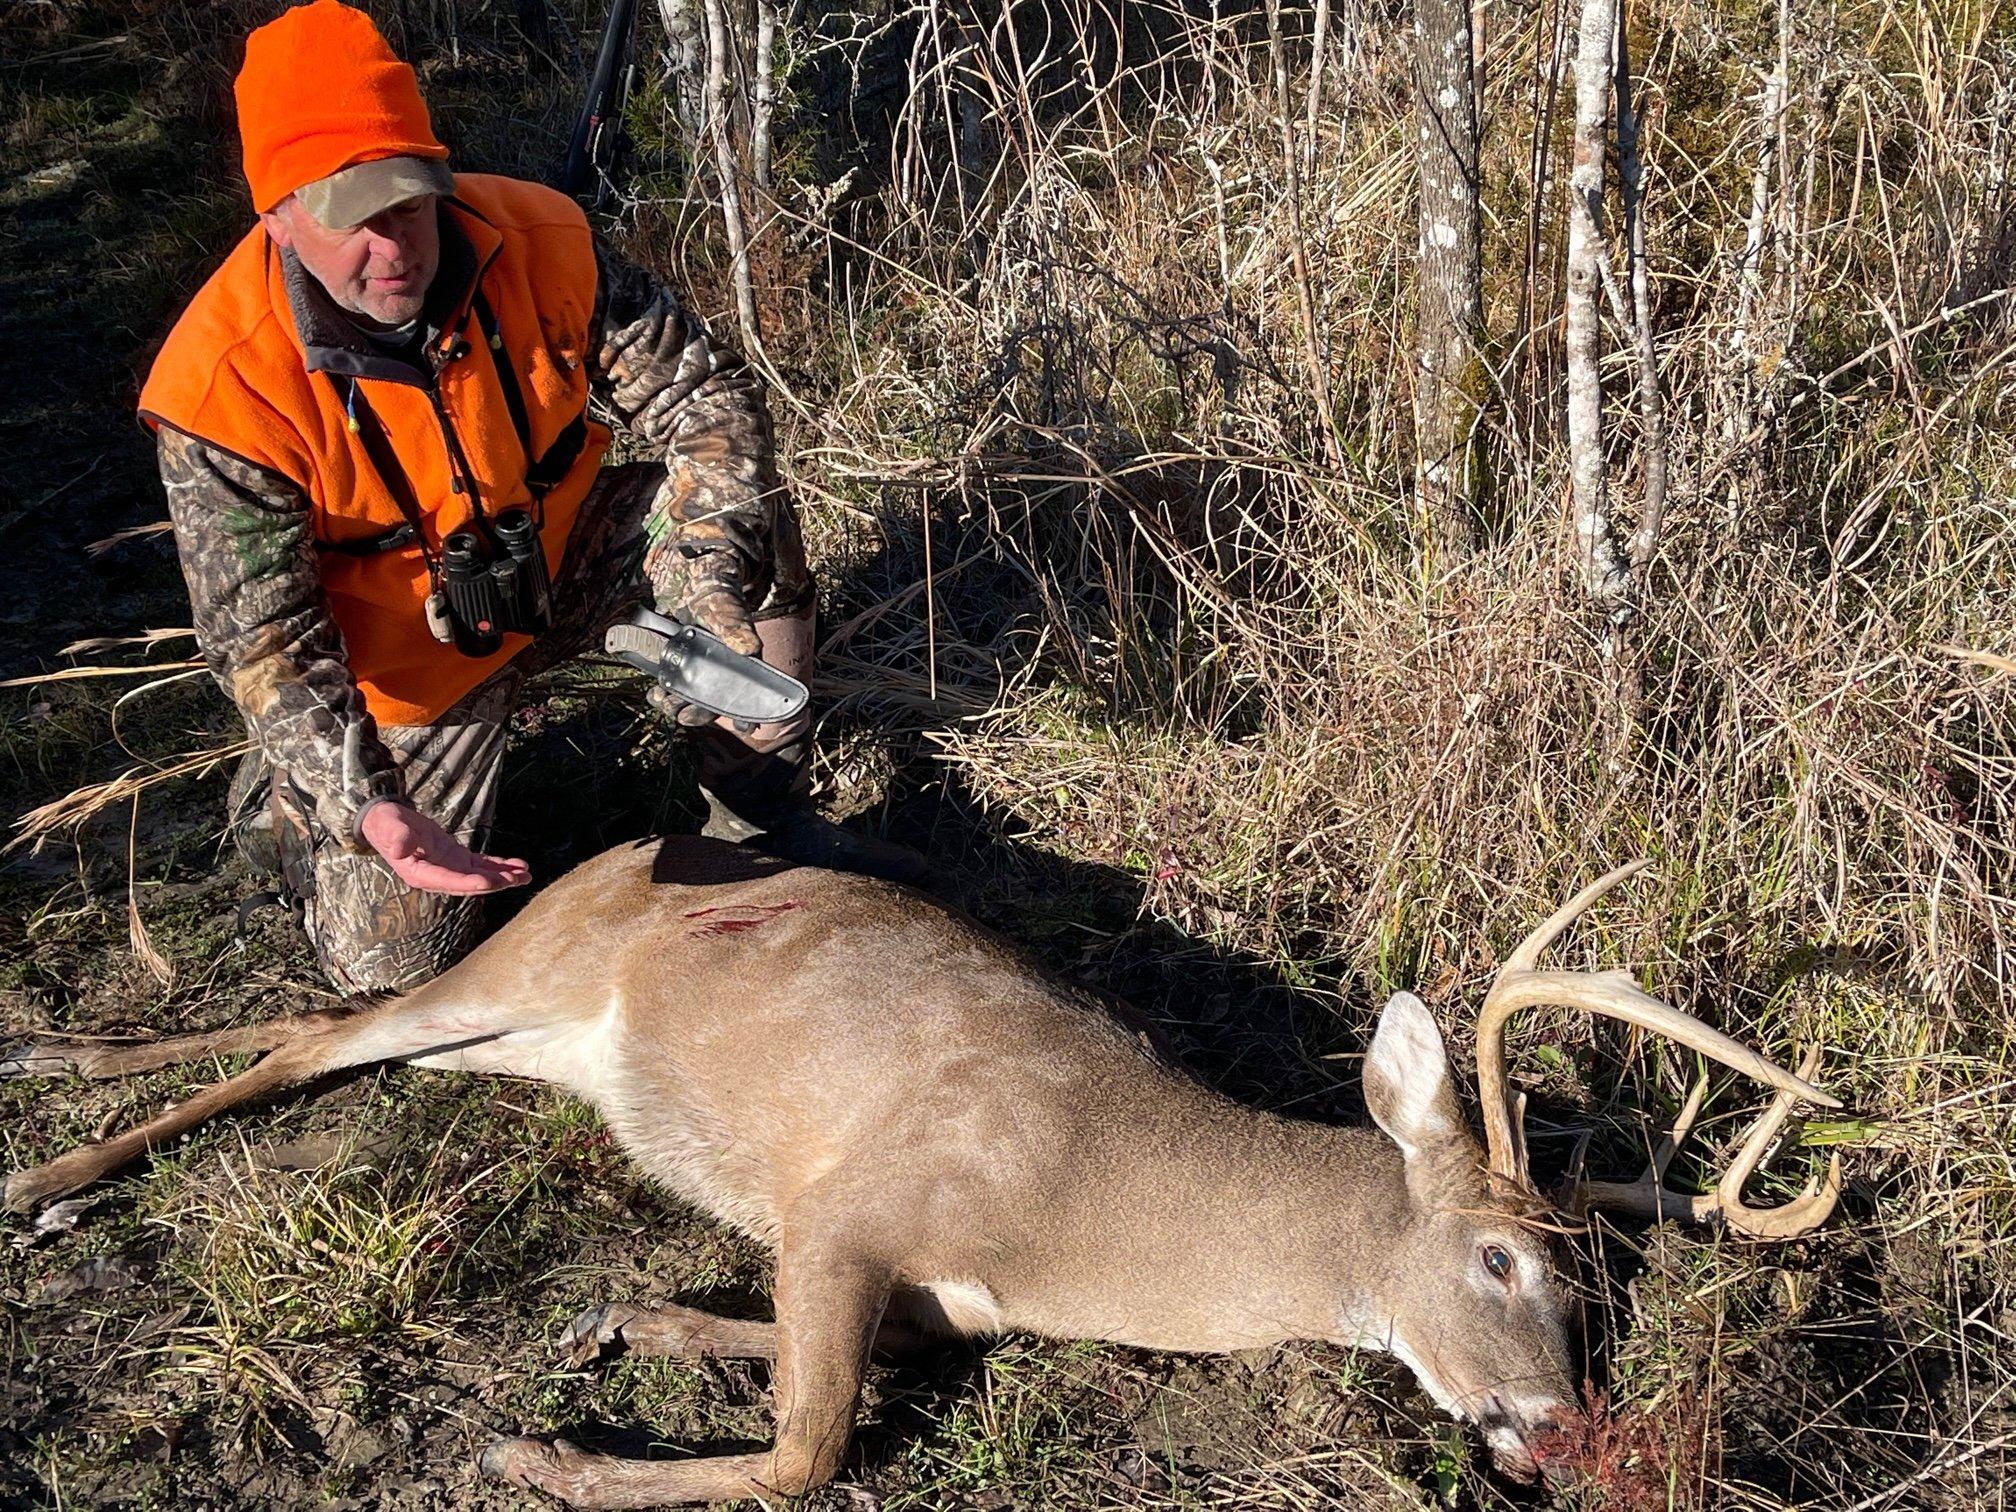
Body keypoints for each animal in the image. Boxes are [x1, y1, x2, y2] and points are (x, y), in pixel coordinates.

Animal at [3, 846, 1846, 1507]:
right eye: (1498, 1260)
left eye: (1592, 1281)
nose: (1566, 1429)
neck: (1094, 1196)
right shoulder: (851, 1201)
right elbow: (800, 1455)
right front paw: (542, 1449)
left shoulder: (928, 1283)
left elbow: (852, 1363)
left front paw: (635, 1325)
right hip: (533, 962)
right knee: (318, 1040)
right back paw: (58, 1160)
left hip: (532, 1035)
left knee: (327, 1026)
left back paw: (64, 1079)